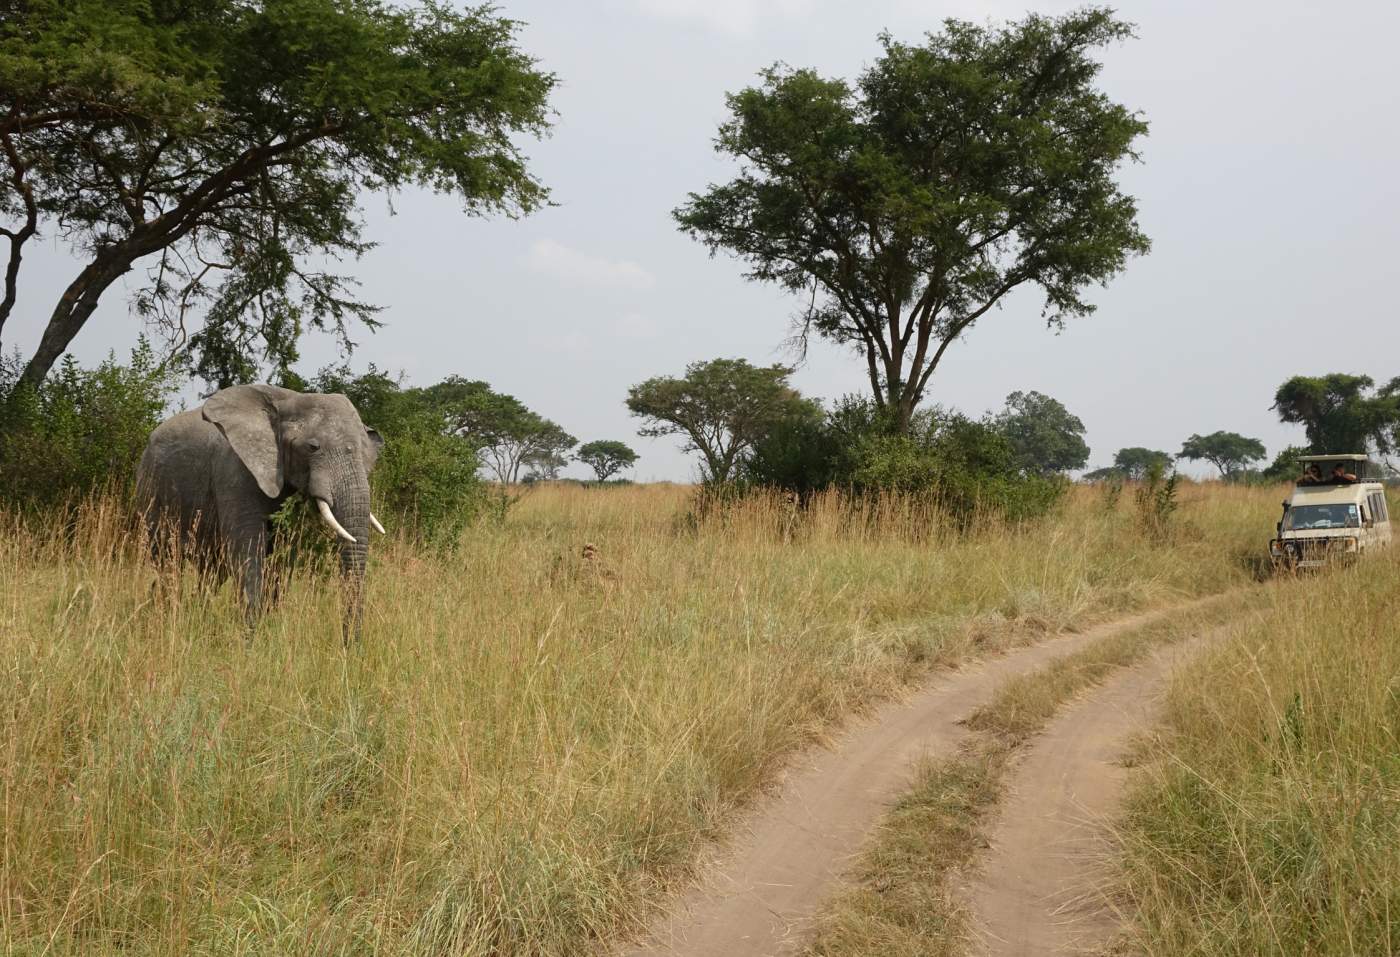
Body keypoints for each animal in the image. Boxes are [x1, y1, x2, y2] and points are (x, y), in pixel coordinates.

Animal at [134, 383, 386, 643]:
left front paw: (268, 629)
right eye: (312, 447)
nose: (350, 646)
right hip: (151, 491)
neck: (288, 400)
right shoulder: (235, 473)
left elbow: (282, 557)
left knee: (211, 571)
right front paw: (250, 640)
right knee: (167, 561)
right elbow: (247, 549)